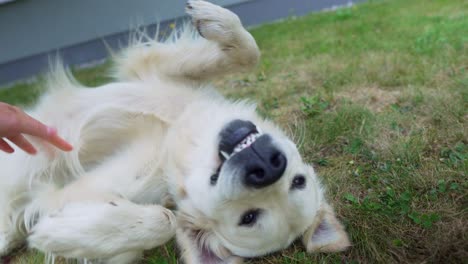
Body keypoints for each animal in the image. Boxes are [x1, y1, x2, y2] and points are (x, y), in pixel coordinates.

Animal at [0, 1, 350, 262]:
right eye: (298, 180)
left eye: (249, 217)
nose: (267, 165)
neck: (177, 136)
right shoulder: (152, 70)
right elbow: (249, 52)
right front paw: (213, 19)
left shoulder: (62, 196)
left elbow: (164, 221)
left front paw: (59, 235)